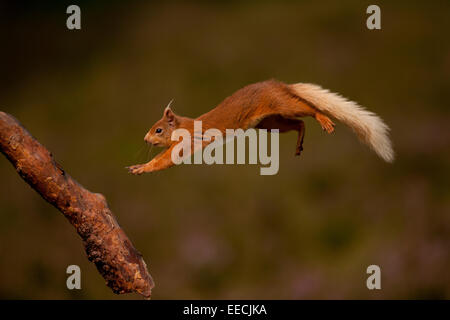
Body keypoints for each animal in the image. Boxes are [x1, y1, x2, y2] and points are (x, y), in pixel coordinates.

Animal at [126, 79, 394, 175]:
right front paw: (138, 165)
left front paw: (142, 168)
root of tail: (281, 85)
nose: (145, 139)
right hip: (271, 123)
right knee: (298, 124)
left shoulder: (188, 143)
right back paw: (299, 144)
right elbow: (162, 158)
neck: (186, 125)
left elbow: (166, 159)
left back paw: (324, 120)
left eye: (158, 130)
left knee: (307, 109)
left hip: (284, 106)